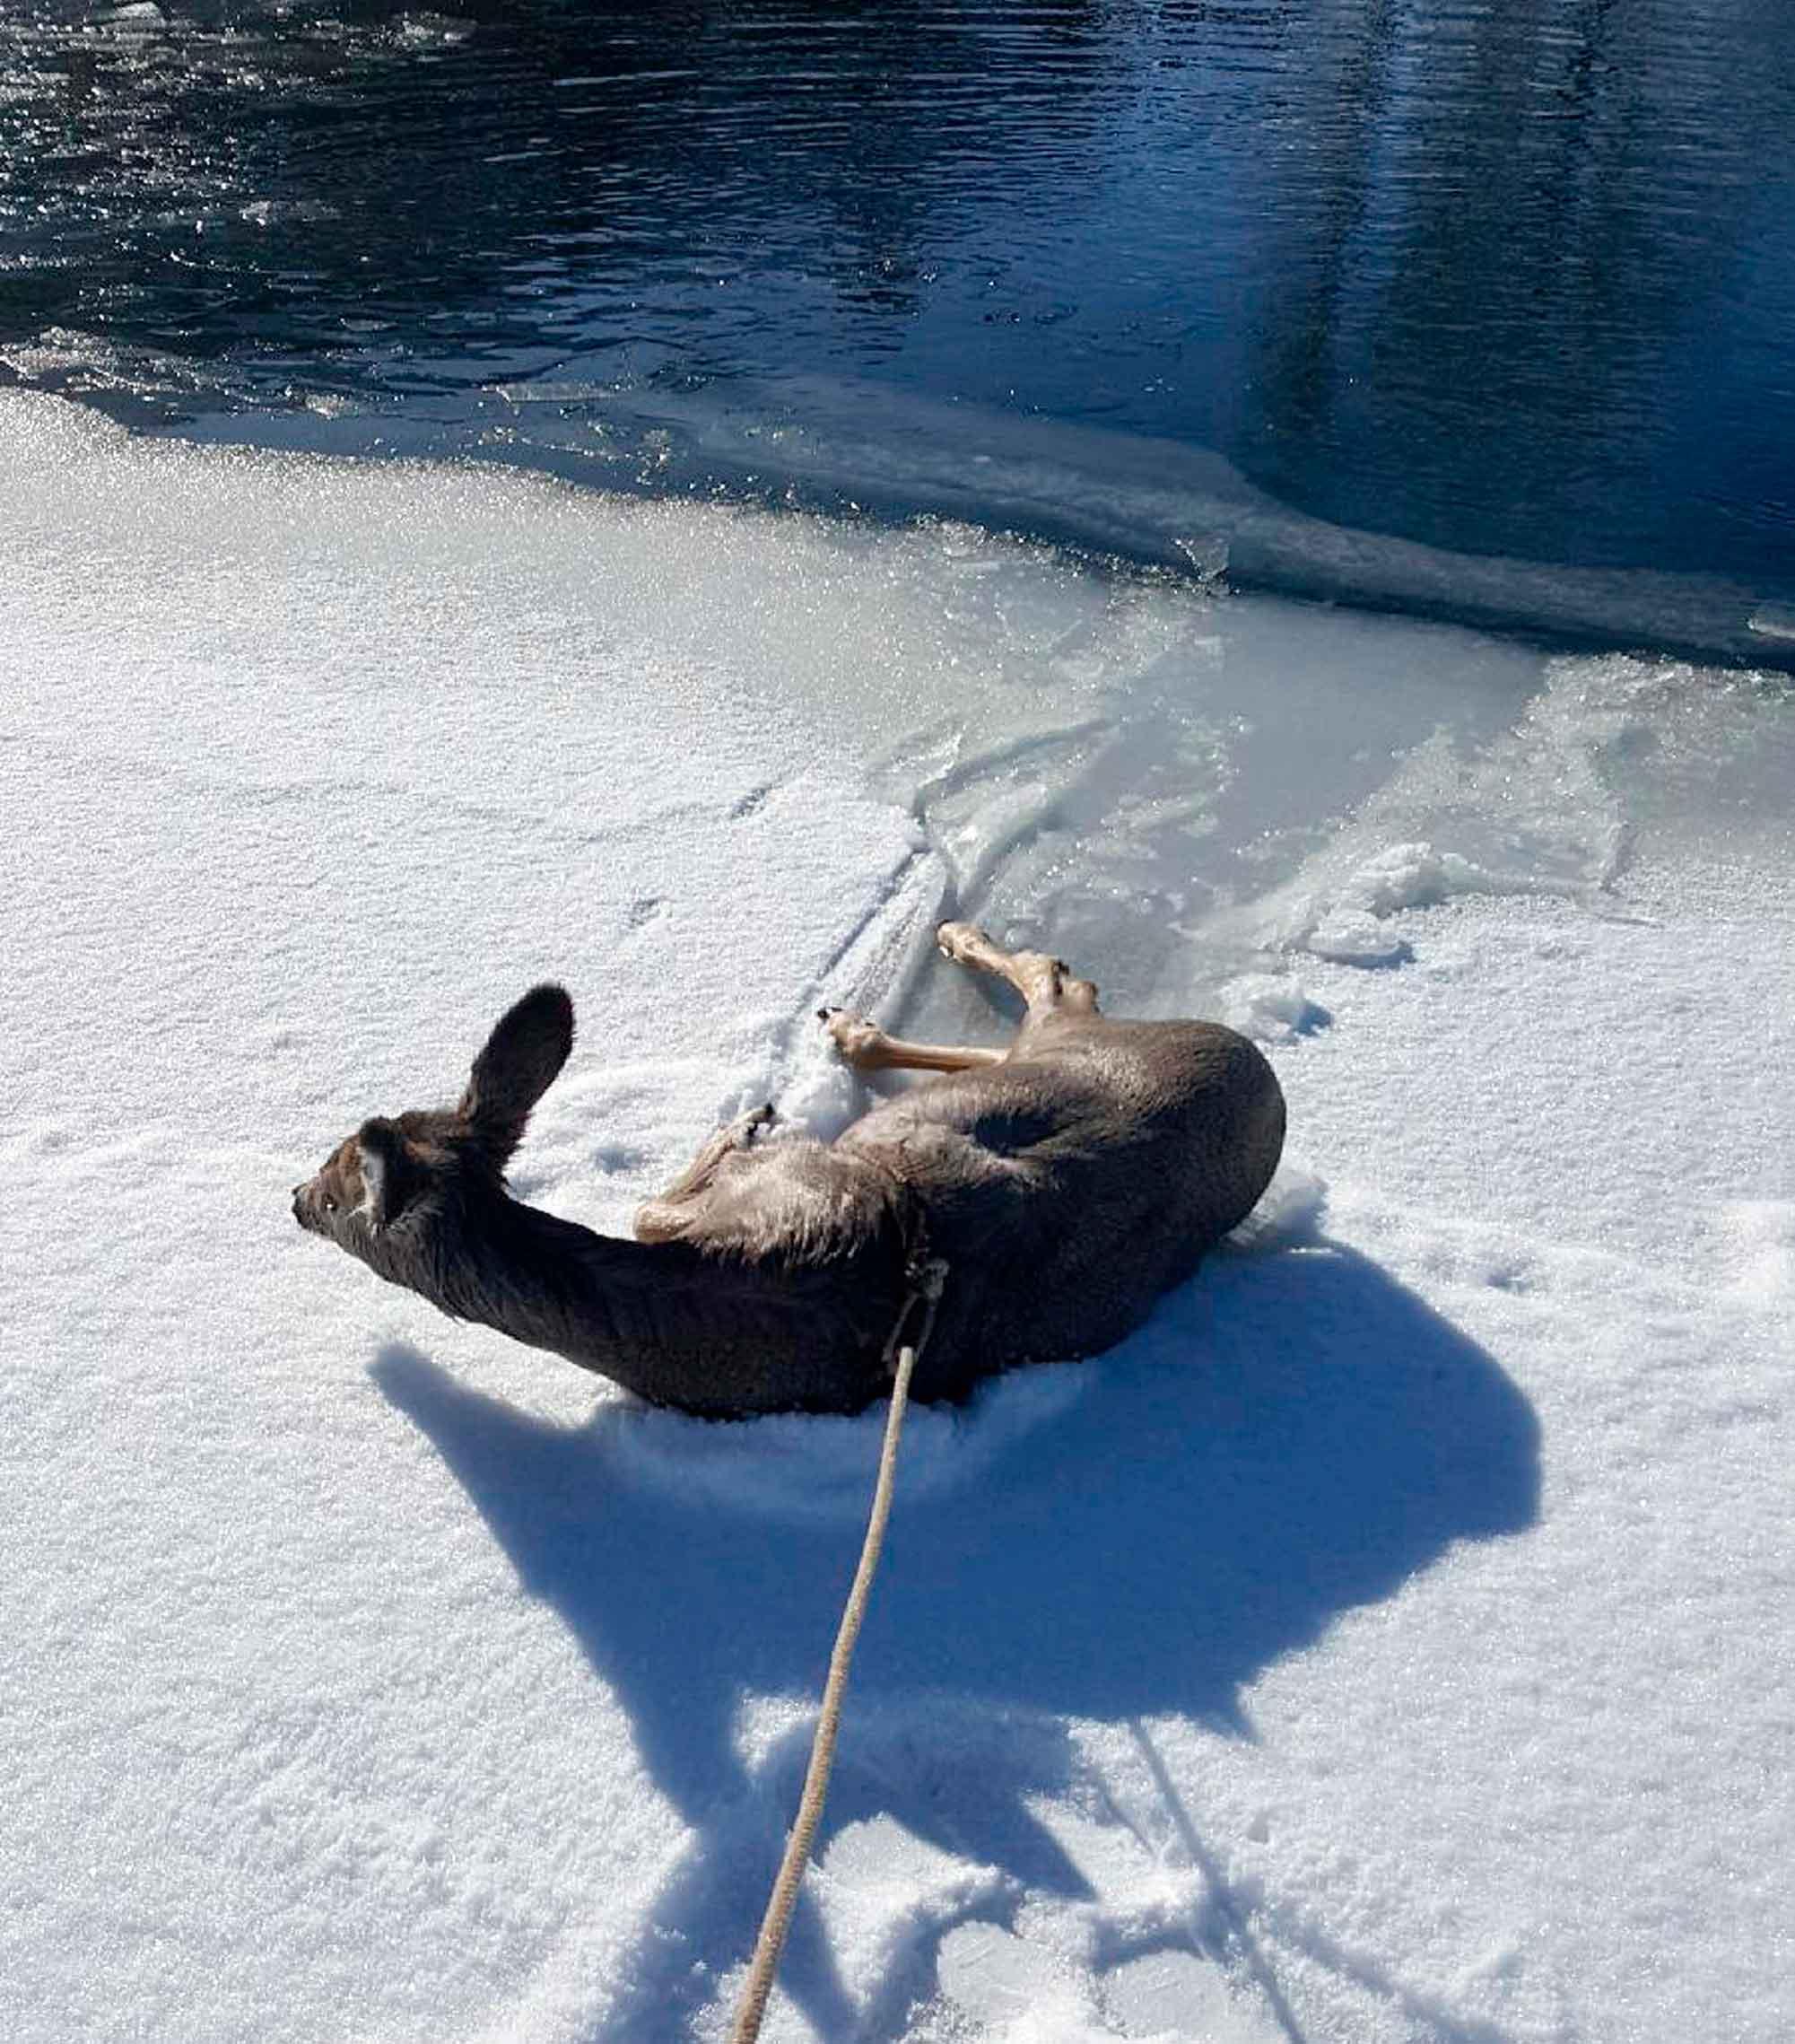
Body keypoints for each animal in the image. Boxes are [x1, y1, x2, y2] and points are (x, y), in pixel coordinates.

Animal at [292, 920, 1276, 1414]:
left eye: (338, 1184)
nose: (295, 1198)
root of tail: (1263, 1076)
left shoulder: (785, 1177)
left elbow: (652, 1202)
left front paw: (741, 1122)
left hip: (1071, 1046)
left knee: (1060, 981)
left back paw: (938, 946)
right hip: (1043, 1060)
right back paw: (859, 1023)